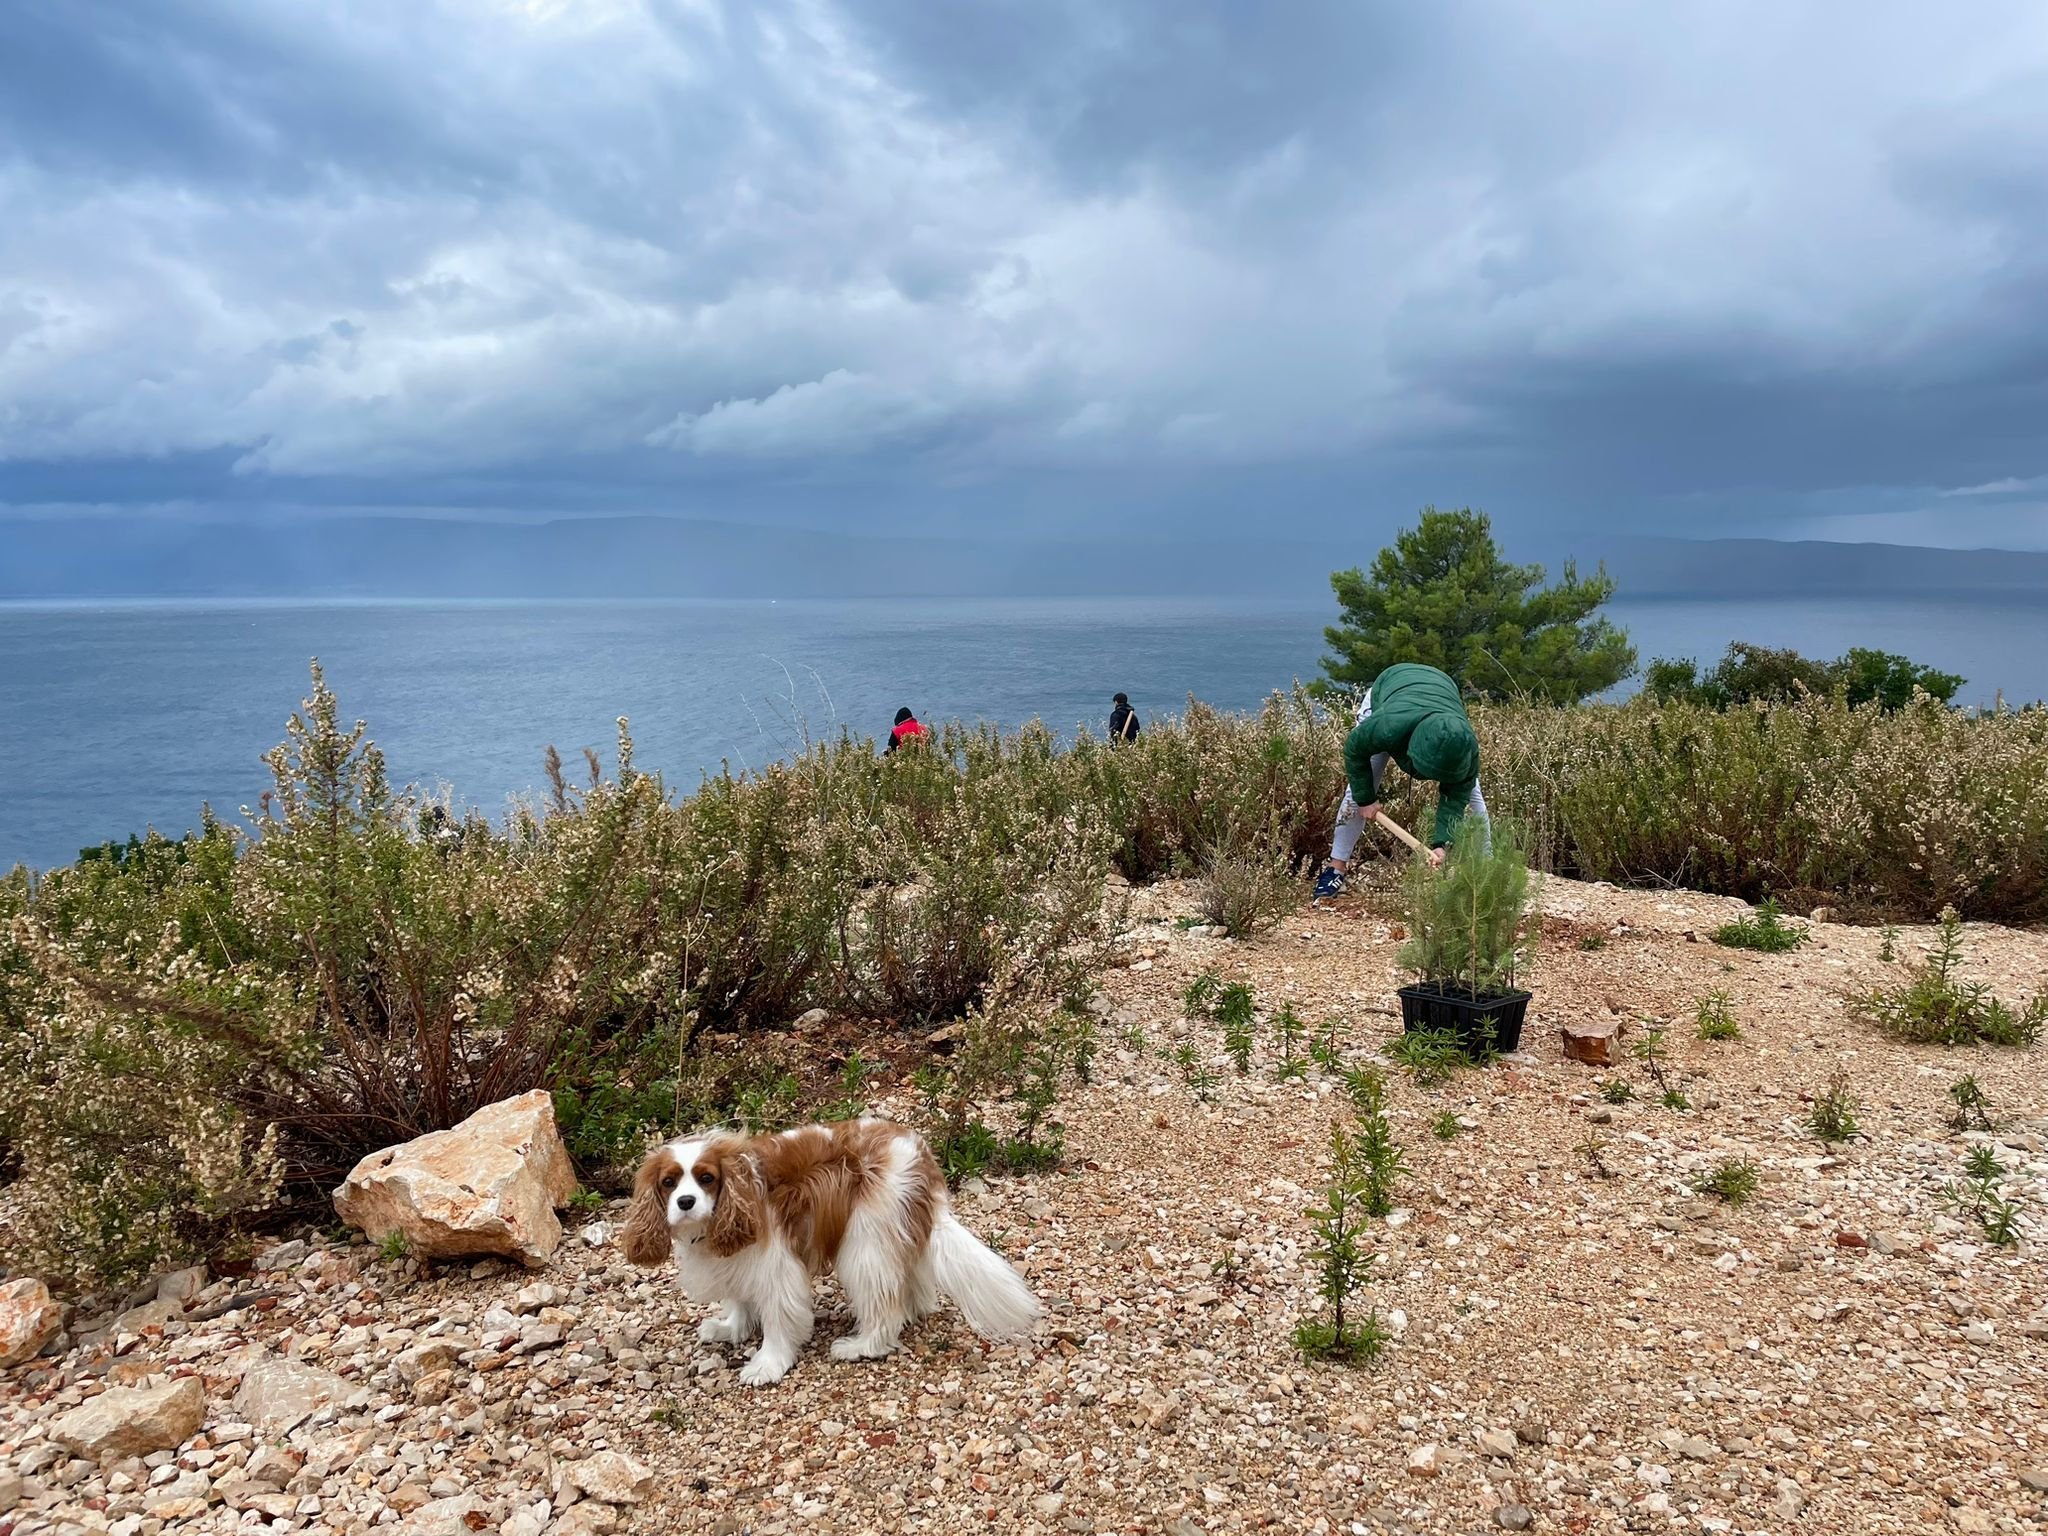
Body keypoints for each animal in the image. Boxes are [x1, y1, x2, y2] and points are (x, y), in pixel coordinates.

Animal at [618, 1122, 1040, 1392]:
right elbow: (738, 1298)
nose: (686, 1202)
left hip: (866, 1241)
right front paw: (731, 1328)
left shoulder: (775, 1266)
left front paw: (767, 1364)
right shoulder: (733, 1257)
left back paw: (862, 1345)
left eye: (706, 1178)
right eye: (669, 1183)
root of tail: (919, 1156)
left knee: (885, 1306)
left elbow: (777, 1318)